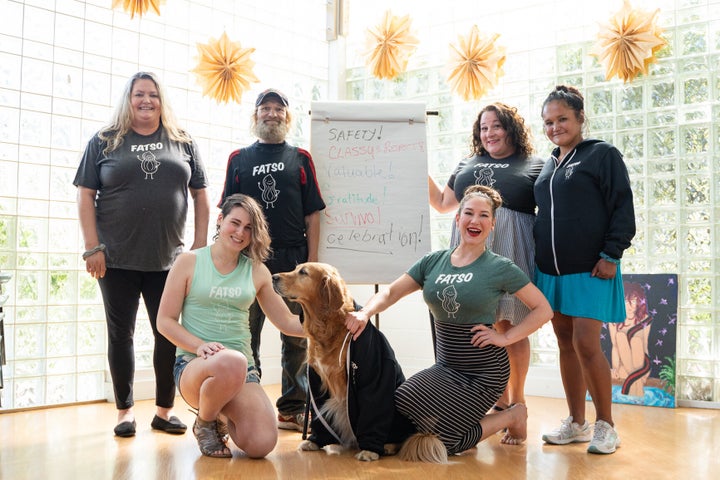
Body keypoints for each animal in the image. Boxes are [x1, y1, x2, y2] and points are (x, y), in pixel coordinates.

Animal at [270, 262, 416, 462]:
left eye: (303, 272)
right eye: (296, 268)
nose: (273, 277)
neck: (327, 325)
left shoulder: (374, 374)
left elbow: (373, 411)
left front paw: (370, 450)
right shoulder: (317, 382)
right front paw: (315, 440)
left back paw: (388, 445)